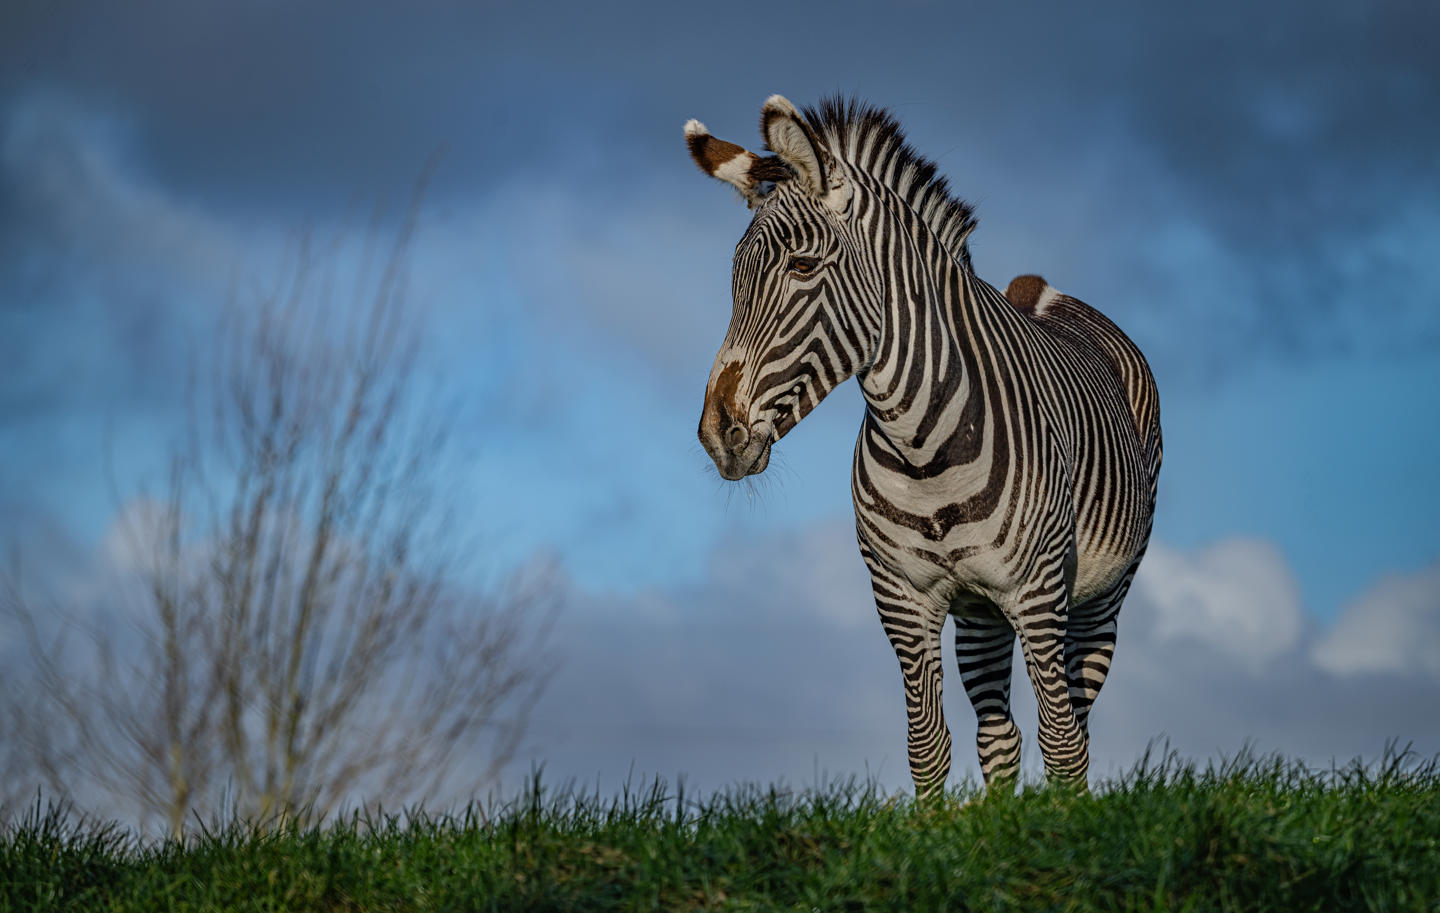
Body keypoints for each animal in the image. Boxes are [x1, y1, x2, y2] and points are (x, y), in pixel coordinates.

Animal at [684, 96, 1161, 793]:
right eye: (735, 280)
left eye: (802, 267)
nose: (718, 434)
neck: (925, 450)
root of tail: (1040, 291)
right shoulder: (903, 599)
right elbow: (927, 744)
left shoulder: (1039, 594)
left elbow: (1063, 743)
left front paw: (1064, 821)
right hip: (980, 614)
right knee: (999, 735)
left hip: (1102, 597)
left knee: (1073, 722)